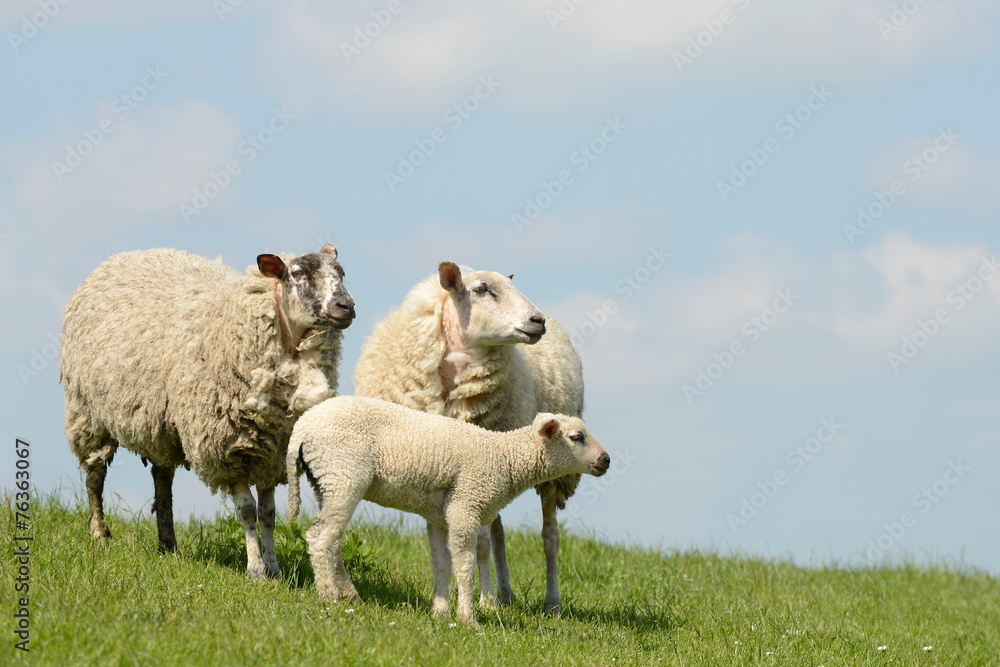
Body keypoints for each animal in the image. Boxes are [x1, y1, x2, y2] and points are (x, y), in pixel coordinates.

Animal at [60, 244, 355, 577]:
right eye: (298, 273)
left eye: (341, 273)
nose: (347, 306)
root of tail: (125, 255)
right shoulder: (227, 450)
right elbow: (247, 511)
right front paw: (255, 570)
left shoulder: (272, 454)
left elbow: (268, 514)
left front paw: (274, 568)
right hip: (87, 412)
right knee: (94, 476)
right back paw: (99, 533)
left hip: (162, 425)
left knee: (162, 479)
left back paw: (168, 544)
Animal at [286, 395, 610, 625]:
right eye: (576, 437)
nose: (605, 460)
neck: (505, 459)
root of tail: (300, 430)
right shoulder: (465, 505)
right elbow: (464, 564)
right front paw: (468, 619)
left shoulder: (439, 516)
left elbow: (441, 562)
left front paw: (439, 613)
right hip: (344, 472)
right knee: (320, 538)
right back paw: (329, 596)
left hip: (327, 480)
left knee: (333, 540)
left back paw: (351, 596)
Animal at [353, 262, 584, 613]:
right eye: (481, 289)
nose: (538, 321)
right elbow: (449, 545)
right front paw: (445, 602)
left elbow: (480, 542)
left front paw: (483, 602)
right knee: (499, 529)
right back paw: (505, 593)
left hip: (555, 472)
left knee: (550, 537)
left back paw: (550, 602)